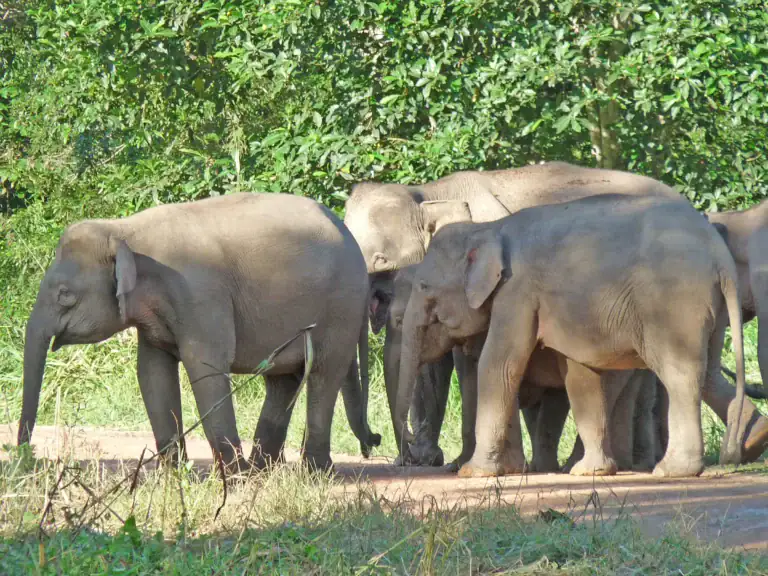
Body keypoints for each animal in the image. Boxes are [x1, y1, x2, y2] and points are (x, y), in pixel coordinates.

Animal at [17, 192, 380, 472]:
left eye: (65, 295)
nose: (25, 459)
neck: (124, 231)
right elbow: (152, 374)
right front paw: (174, 476)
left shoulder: (200, 294)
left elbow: (205, 367)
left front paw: (231, 479)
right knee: (283, 381)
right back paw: (263, 471)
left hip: (340, 309)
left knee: (323, 374)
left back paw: (311, 473)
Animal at [344, 161, 768, 464]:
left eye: (381, 261)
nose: (378, 442)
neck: (429, 191)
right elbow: (436, 368)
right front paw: (429, 460)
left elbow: (470, 363)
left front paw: (457, 462)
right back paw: (745, 443)